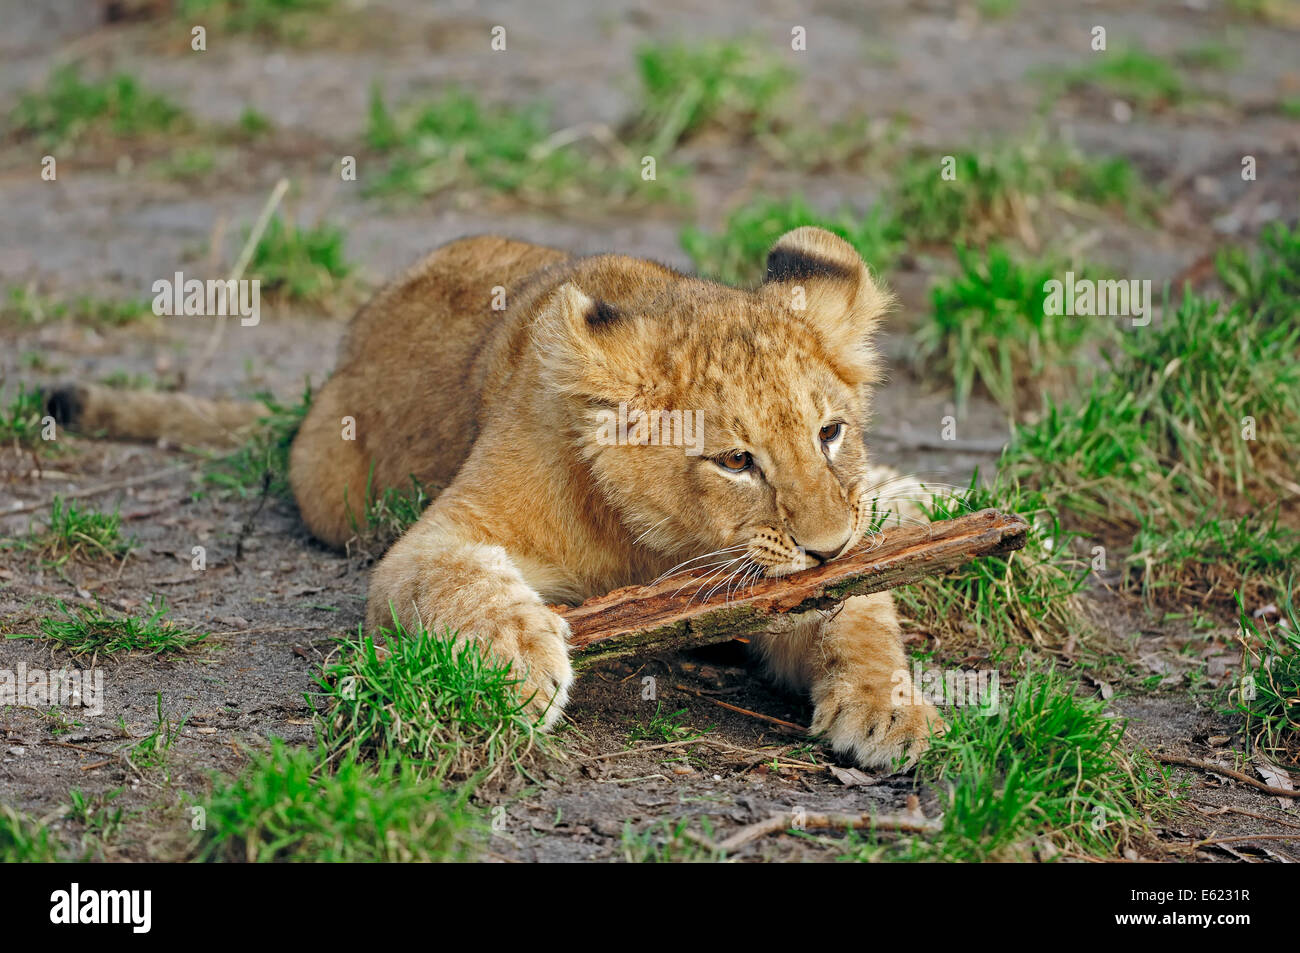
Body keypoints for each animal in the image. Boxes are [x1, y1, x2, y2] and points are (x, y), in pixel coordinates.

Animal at [47, 227, 943, 769]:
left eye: (830, 432)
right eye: (735, 461)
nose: (828, 546)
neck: (656, 547)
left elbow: (861, 609)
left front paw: (889, 705)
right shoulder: (432, 537)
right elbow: (460, 579)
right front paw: (518, 664)